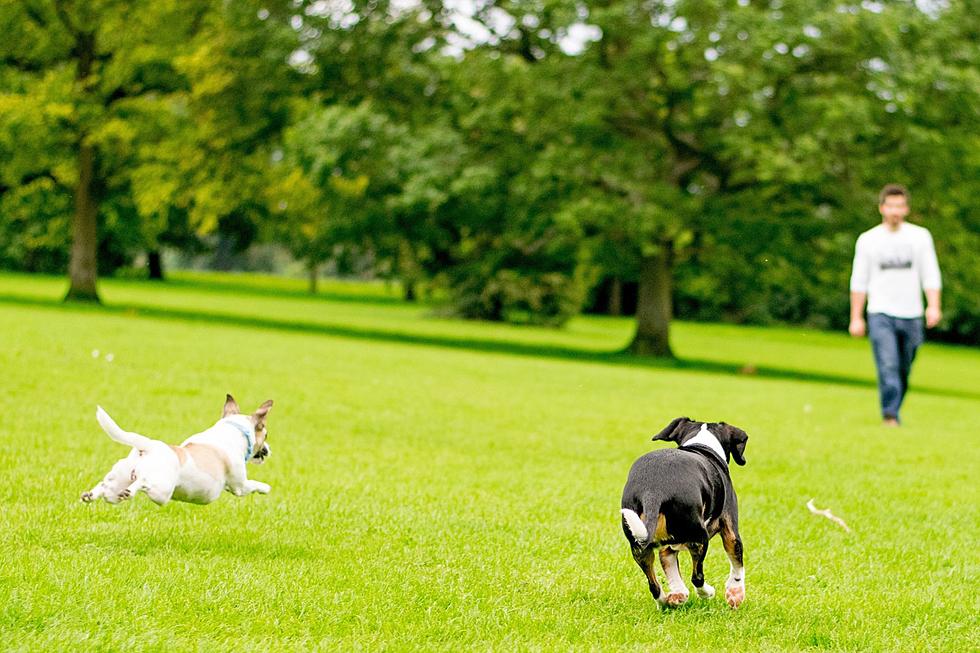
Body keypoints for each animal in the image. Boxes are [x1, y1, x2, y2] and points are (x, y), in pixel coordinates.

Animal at [80, 394, 270, 506]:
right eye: (266, 435)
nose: (268, 450)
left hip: (117, 486)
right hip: (161, 491)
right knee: (143, 483)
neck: (235, 429)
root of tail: (148, 446)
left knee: (105, 488)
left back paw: (90, 495)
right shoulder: (240, 486)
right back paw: (130, 491)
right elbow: (253, 485)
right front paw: (266, 488)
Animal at [620, 418, 752, 608]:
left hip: (639, 546)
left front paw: (678, 594)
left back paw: (666, 601)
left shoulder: (666, 547)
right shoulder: (730, 528)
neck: (701, 443)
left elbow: (670, 566)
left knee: (654, 586)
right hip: (700, 538)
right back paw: (707, 592)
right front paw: (735, 593)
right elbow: (737, 562)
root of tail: (654, 490)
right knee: (697, 577)